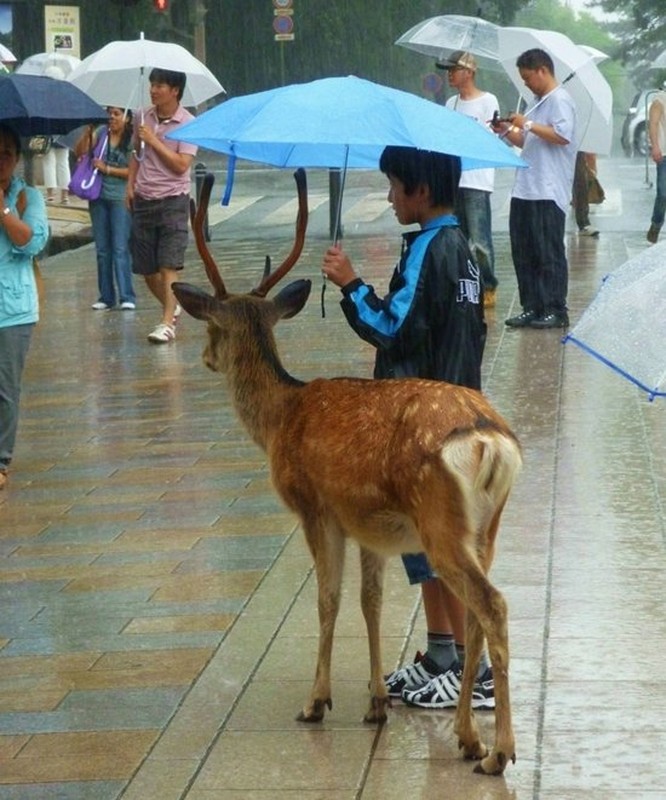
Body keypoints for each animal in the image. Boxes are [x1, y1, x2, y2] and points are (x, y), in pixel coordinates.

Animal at [170, 169, 520, 776]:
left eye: (211, 328)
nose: (206, 359)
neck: (280, 417)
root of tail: (489, 439)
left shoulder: (316, 507)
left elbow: (328, 600)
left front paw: (317, 701)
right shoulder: (370, 527)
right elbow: (370, 601)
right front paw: (376, 701)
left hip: (441, 523)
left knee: (492, 606)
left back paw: (497, 751)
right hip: (485, 527)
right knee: (476, 612)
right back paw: (466, 737)